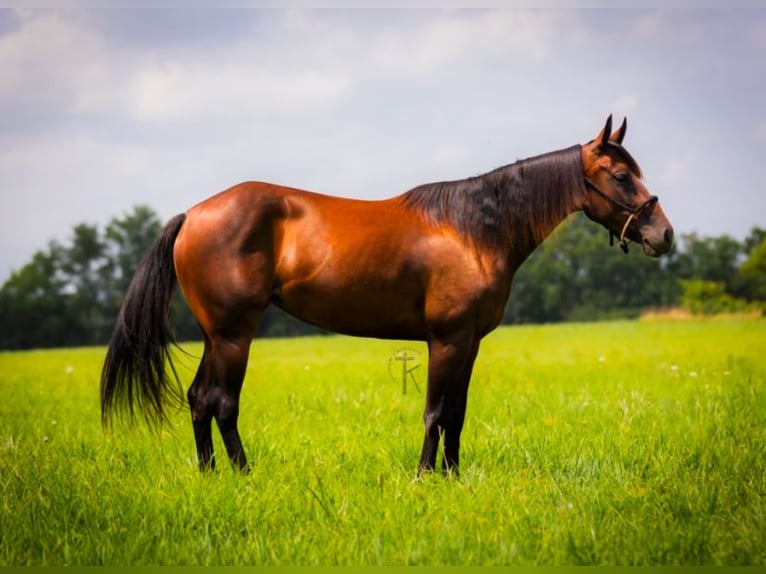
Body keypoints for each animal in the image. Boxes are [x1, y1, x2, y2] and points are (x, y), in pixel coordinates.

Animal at [100, 115, 674, 475]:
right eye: (621, 175)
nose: (664, 235)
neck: (475, 228)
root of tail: (193, 214)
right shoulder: (445, 339)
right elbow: (435, 412)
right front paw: (424, 477)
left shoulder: (470, 343)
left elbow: (457, 412)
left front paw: (453, 477)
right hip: (233, 335)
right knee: (220, 402)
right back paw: (243, 475)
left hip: (216, 336)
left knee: (199, 399)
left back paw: (212, 475)